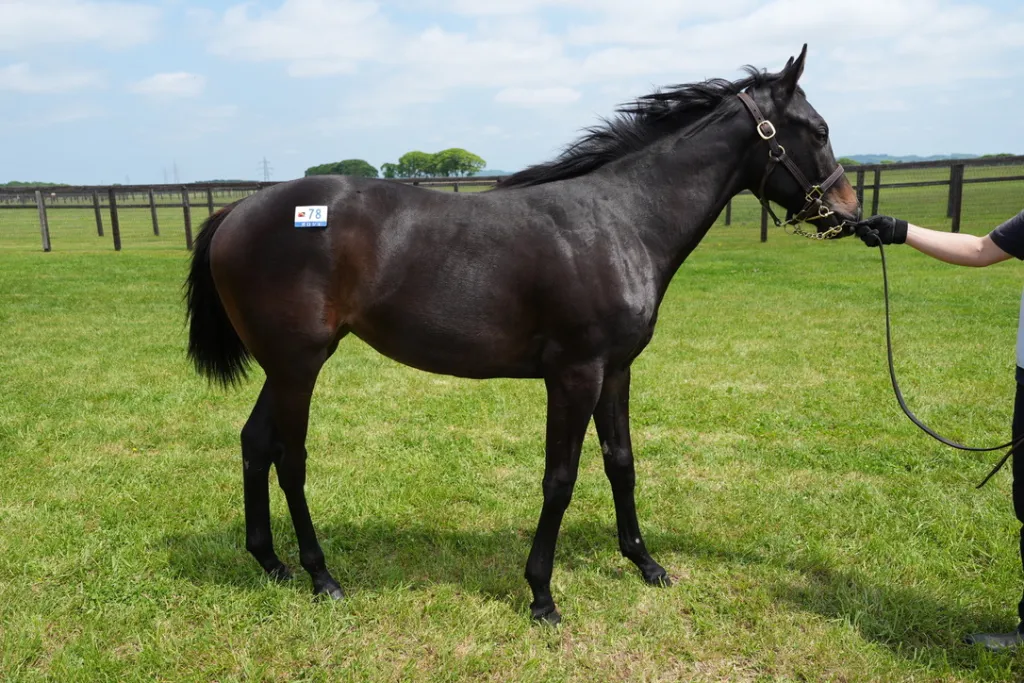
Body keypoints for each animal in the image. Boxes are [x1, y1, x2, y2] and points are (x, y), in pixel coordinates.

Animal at [185, 44, 860, 624]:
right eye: (819, 130)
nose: (849, 212)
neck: (621, 220)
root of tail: (237, 210)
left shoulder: (616, 370)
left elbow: (621, 462)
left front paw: (646, 563)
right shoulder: (574, 375)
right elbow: (559, 480)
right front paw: (541, 595)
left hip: (285, 366)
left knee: (254, 443)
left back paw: (270, 562)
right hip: (299, 365)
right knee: (289, 457)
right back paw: (321, 575)